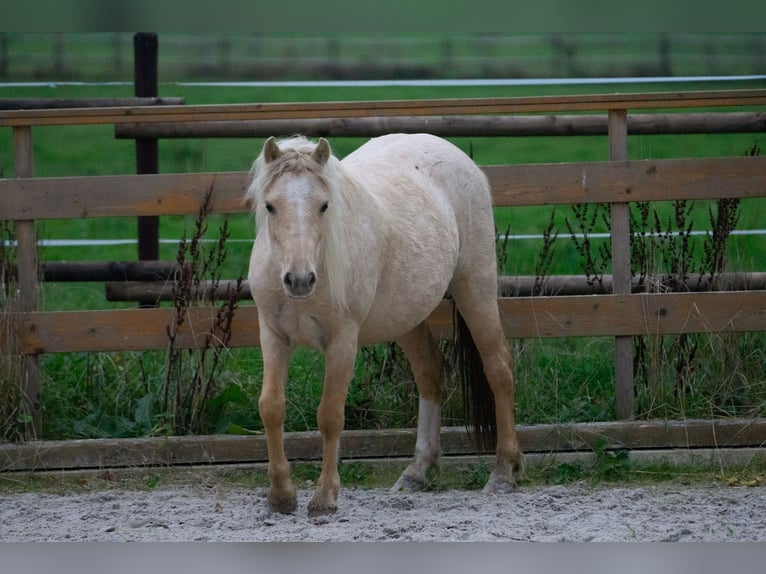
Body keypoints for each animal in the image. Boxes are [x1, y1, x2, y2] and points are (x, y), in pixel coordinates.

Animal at [249, 134, 524, 516]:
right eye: (271, 206)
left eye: (324, 206)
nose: (300, 280)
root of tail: (457, 156)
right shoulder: (273, 336)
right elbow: (271, 407)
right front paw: (281, 495)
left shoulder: (343, 341)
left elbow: (330, 415)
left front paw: (325, 496)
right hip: (407, 316)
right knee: (429, 372)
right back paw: (417, 472)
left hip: (476, 288)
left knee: (498, 368)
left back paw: (502, 473)